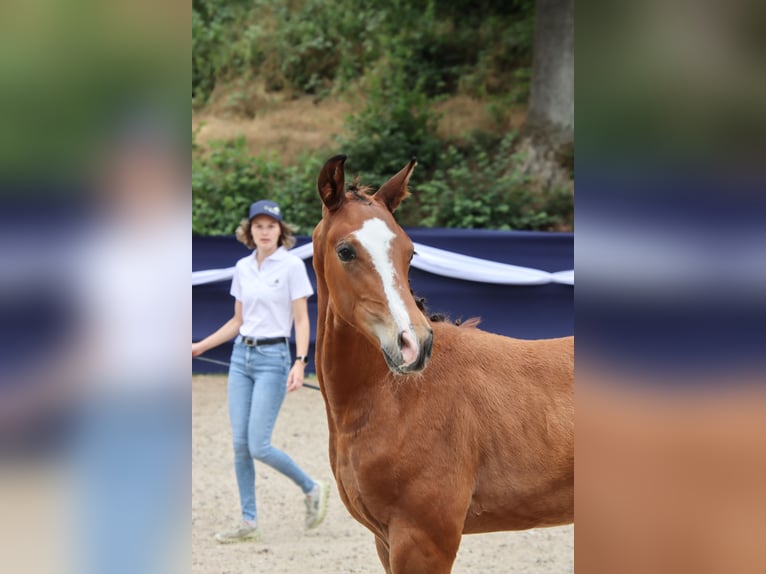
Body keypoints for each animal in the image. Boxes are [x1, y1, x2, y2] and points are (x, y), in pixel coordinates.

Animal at [311, 155, 574, 573]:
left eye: (410, 252)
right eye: (345, 251)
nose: (414, 344)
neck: (395, 400)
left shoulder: (424, 541)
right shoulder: (385, 542)